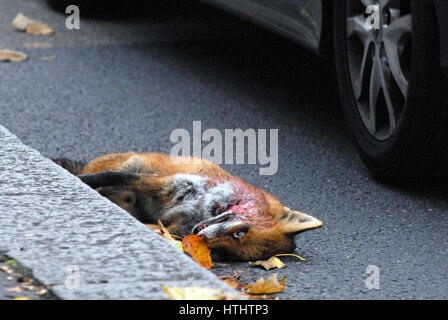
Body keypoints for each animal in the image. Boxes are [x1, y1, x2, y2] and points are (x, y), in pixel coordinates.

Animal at [54, 152, 324, 260]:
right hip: (134, 163)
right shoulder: (164, 184)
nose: (200, 236)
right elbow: (107, 177)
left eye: (224, 255)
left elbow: (157, 231)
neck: (202, 208)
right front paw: (79, 182)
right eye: (240, 232)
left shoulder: (172, 228)